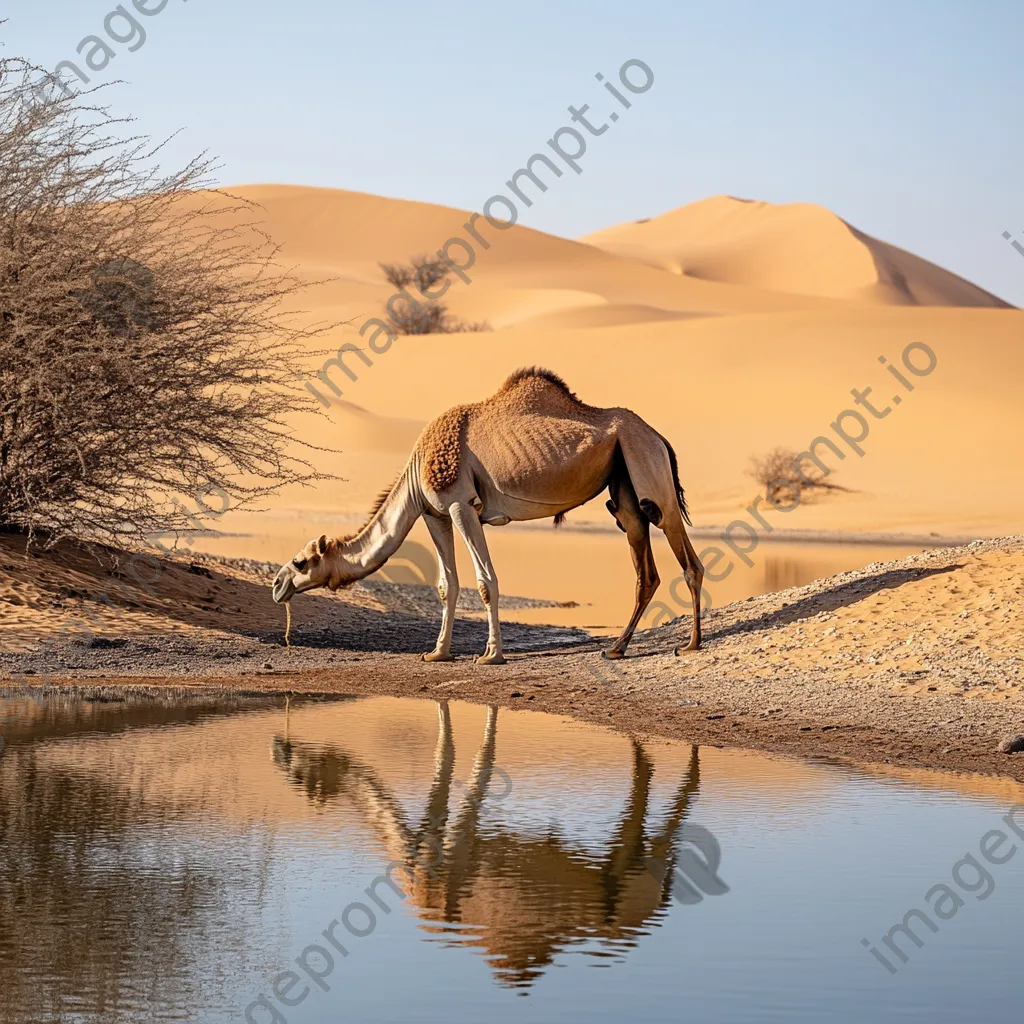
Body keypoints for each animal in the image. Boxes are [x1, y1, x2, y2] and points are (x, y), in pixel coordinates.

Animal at [272, 368, 704, 663]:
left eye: (301, 561)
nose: (277, 585)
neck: (415, 472)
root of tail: (659, 437)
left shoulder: (461, 505)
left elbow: (485, 581)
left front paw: (491, 655)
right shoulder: (434, 514)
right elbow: (447, 585)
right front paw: (438, 653)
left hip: (647, 469)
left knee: (686, 557)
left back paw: (691, 644)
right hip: (624, 486)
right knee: (646, 569)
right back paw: (616, 648)